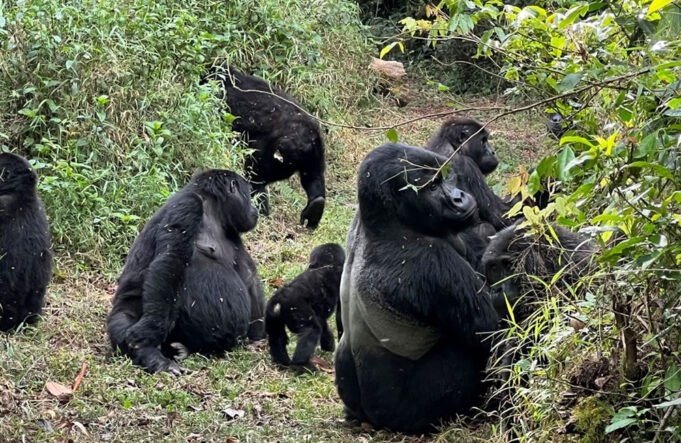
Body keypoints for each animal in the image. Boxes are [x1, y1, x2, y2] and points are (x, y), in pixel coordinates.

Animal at [107, 170, 264, 374]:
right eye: (248, 195)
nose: (255, 209)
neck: (212, 209)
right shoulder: (187, 205)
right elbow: (170, 262)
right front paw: (145, 344)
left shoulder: (233, 233)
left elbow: (248, 276)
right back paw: (152, 355)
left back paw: (181, 350)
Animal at [210, 67, 326, 231]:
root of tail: (308, 141)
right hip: (312, 153)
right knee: (313, 176)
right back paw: (315, 208)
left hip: (279, 151)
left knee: (255, 176)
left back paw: (259, 210)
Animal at [262, 243, 342, 372]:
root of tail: (279, 299)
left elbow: (323, 321)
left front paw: (329, 345)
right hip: (296, 308)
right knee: (311, 330)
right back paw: (303, 365)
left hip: (271, 313)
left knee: (277, 336)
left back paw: (282, 362)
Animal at [336, 143, 500, 434]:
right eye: (432, 187)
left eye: (445, 179)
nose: (459, 197)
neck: (388, 222)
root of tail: (370, 419)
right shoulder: (432, 260)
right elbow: (492, 331)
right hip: (406, 416)